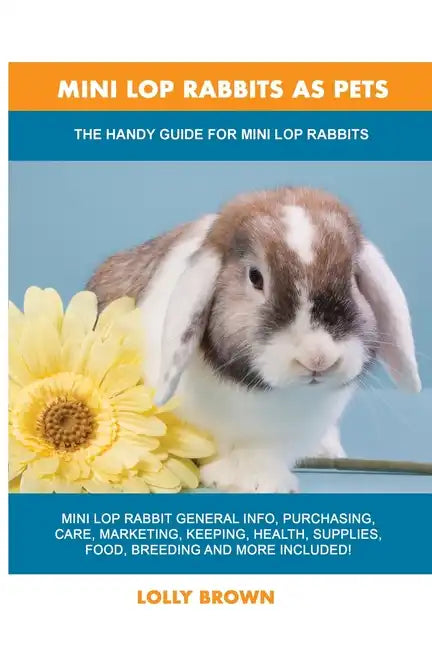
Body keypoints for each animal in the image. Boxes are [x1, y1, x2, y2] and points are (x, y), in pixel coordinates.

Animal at [87, 187, 421, 492]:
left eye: (352, 277)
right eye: (255, 277)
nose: (318, 358)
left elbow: (262, 455)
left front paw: (263, 480)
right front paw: (234, 478)